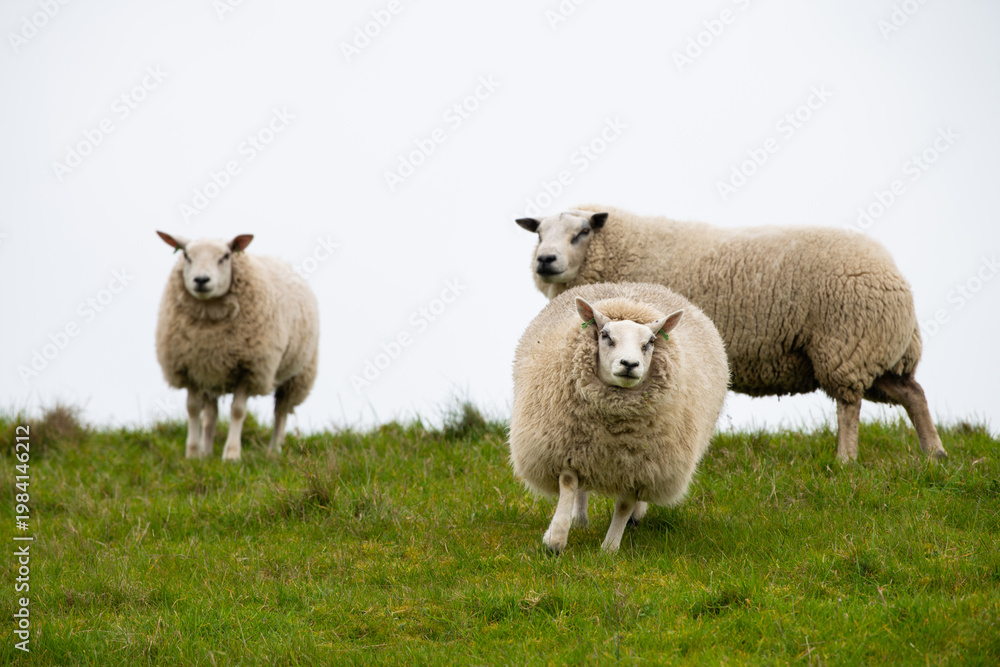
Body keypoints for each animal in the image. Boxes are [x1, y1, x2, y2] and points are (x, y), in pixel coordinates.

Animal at [155, 232, 319, 461]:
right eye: (186, 255)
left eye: (225, 256)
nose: (201, 280)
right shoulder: (192, 368)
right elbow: (193, 409)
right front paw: (193, 453)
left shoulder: (248, 369)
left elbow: (238, 411)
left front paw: (231, 455)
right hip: (211, 372)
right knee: (211, 414)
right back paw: (207, 452)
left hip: (297, 376)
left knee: (281, 411)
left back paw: (274, 451)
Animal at [509, 282, 729, 553]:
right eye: (605, 335)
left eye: (650, 341)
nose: (629, 364)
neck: (612, 429)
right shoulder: (569, 447)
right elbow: (569, 484)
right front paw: (556, 540)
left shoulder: (640, 468)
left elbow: (624, 505)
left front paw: (609, 548)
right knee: (582, 489)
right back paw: (580, 520)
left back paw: (634, 518)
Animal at [515, 205, 946, 463]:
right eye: (538, 234)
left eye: (582, 231)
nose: (545, 260)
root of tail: (895, 275)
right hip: (878, 355)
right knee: (914, 393)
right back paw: (934, 455)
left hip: (846, 345)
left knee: (849, 404)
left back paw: (846, 459)